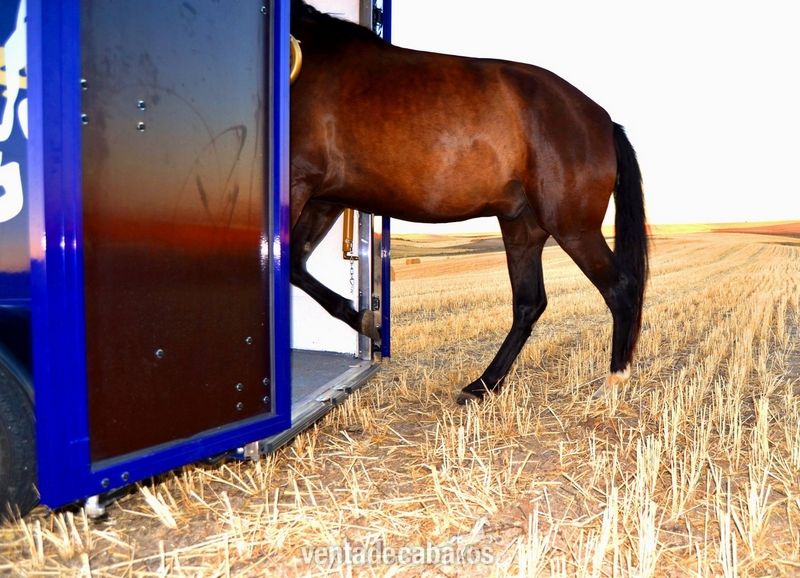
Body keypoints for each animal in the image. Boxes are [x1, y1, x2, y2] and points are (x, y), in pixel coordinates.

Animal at [289, 0, 648, 404]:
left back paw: (614, 379)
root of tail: (602, 121)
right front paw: (365, 321)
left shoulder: (298, 182)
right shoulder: (324, 199)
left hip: (572, 227)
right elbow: (296, 264)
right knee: (529, 304)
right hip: (522, 227)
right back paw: (483, 384)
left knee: (620, 287)